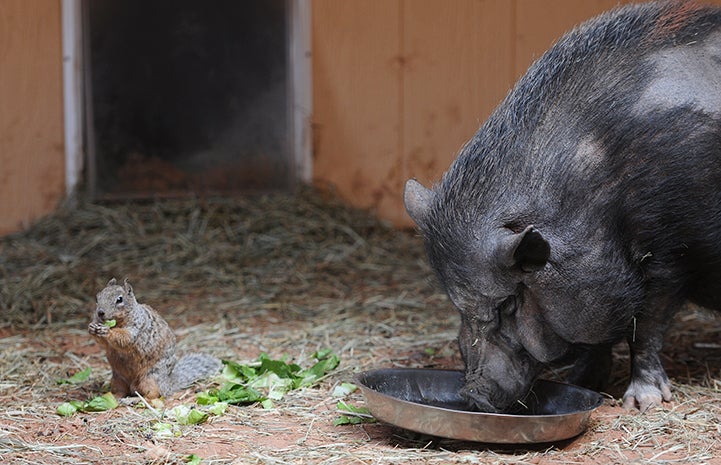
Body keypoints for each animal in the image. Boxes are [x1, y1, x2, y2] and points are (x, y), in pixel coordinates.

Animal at [88, 278, 222, 399]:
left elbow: (125, 338)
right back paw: (114, 397)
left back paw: (136, 399)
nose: (100, 313)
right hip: (117, 379)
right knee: (121, 392)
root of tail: (167, 384)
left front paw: (107, 331)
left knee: (153, 394)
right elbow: (104, 343)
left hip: (150, 378)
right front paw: (92, 327)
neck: (119, 322)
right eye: (97, 297)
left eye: (119, 299)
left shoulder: (137, 327)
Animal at [404, 1, 721, 413]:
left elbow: (647, 326)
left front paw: (643, 403)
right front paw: (581, 383)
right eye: (458, 305)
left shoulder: (671, 251)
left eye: (508, 304)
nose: (473, 396)